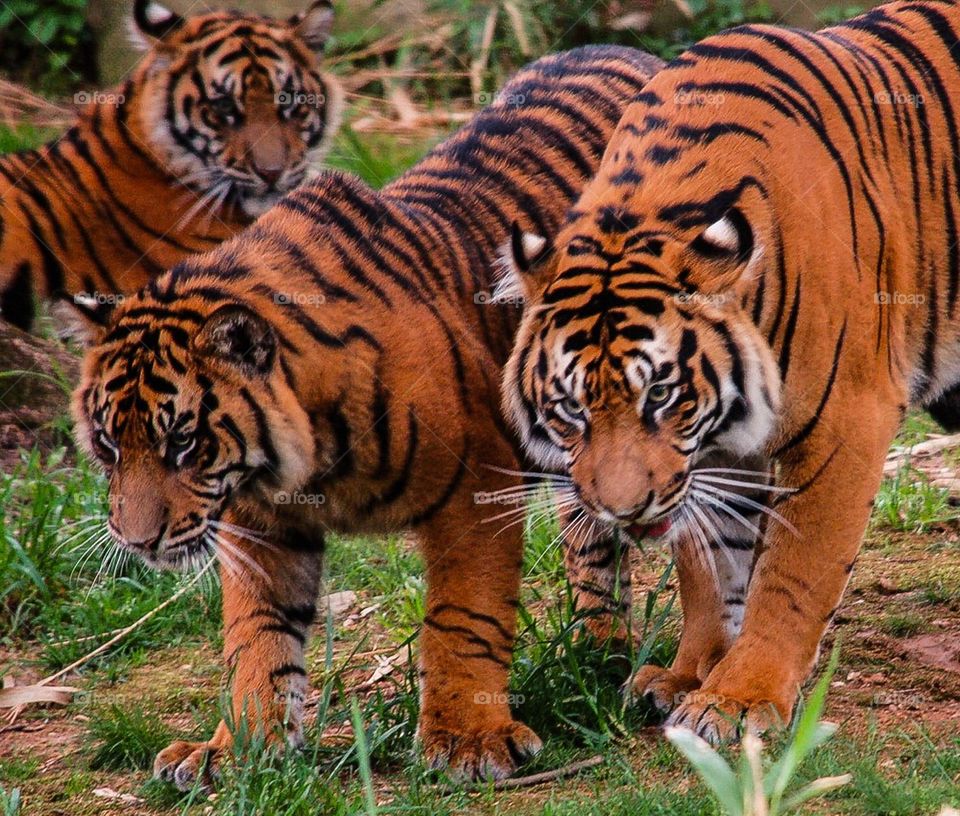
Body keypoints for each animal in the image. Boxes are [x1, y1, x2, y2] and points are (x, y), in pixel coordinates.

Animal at [72, 46, 664, 789]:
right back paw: (599, 654)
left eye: (182, 442)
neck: (299, 461)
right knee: (592, 541)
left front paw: (468, 741)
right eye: (106, 445)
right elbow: (256, 638)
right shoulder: (262, 524)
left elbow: (463, 618)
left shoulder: (475, 491)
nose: (136, 541)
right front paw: (237, 751)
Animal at [499, 0, 960, 744]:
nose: (622, 512)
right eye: (571, 409)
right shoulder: (714, 450)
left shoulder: (845, 424)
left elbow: (792, 574)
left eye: (659, 394)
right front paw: (690, 674)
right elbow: (710, 565)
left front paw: (741, 697)